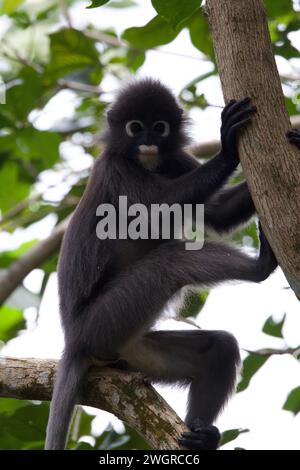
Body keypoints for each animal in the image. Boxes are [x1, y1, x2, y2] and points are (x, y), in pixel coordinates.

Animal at [45, 78, 298, 452]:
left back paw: (201, 435)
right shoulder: (117, 168)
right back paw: (261, 265)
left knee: (220, 347)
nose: (149, 143)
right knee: (172, 261)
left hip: (132, 347)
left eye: (159, 127)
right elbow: (159, 208)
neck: (147, 164)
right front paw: (227, 149)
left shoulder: (175, 159)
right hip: (106, 319)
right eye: (136, 127)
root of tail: (73, 342)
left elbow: (217, 214)